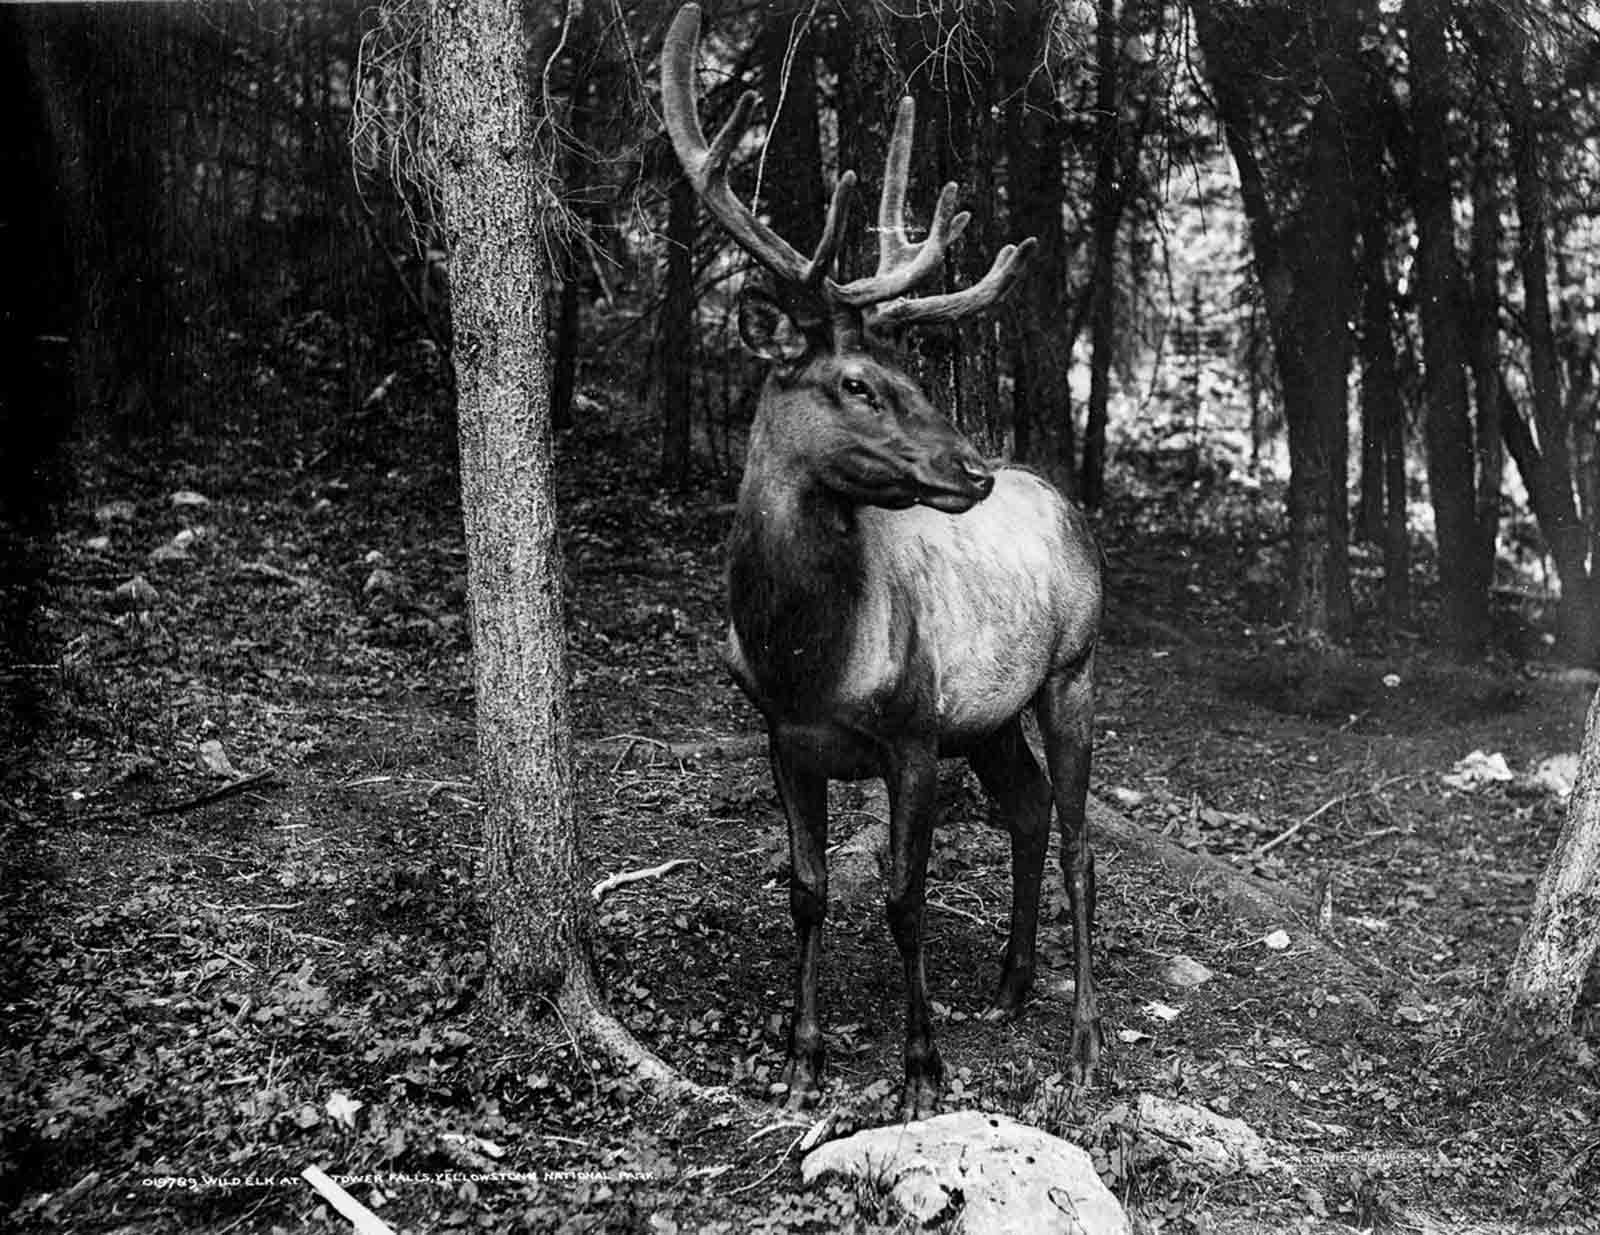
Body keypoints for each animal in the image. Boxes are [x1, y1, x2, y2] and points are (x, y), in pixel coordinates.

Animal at [659, 2, 1100, 1119]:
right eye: (858, 383)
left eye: (913, 375)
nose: (971, 466)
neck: (806, 652)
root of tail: (1067, 502)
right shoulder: (782, 735)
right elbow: (808, 889)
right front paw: (801, 1055)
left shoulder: (910, 729)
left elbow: (904, 898)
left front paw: (921, 1067)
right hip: (986, 713)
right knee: (1029, 806)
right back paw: (1012, 980)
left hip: (1072, 667)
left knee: (1081, 841)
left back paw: (1085, 1042)